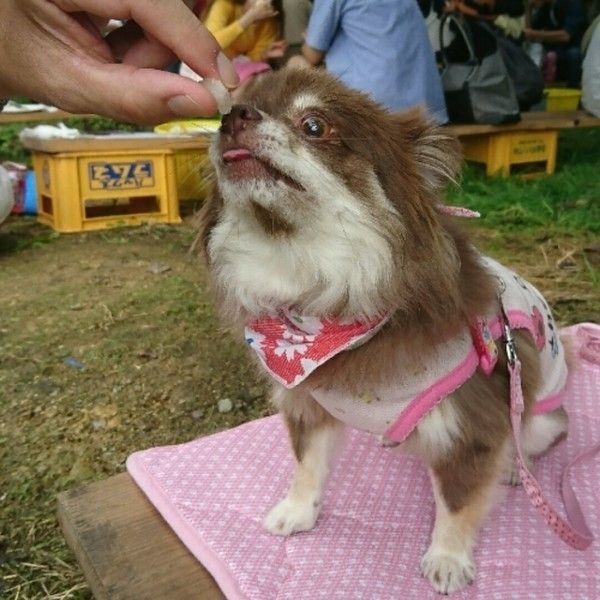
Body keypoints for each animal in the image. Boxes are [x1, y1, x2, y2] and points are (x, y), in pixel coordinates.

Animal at [196, 66, 569, 594]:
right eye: (227, 110)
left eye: (314, 126)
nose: (234, 117)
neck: (321, 301)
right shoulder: (309, 401)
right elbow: (308, 465)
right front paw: (297, 511)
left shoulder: (471, 424)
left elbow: (458, 504)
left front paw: (448, 559)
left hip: (537, 418)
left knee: (526, 441)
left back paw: (517, 469)